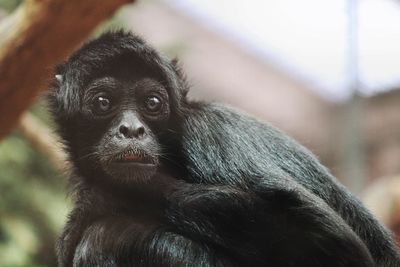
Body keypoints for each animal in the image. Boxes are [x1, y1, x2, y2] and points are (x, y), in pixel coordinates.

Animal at [47, 30, 400, 266]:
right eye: (103, 103)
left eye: (152, 103)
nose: (131, 129)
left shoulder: (209, 134)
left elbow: (336, 246)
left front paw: (109, 197)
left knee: (105, 237)